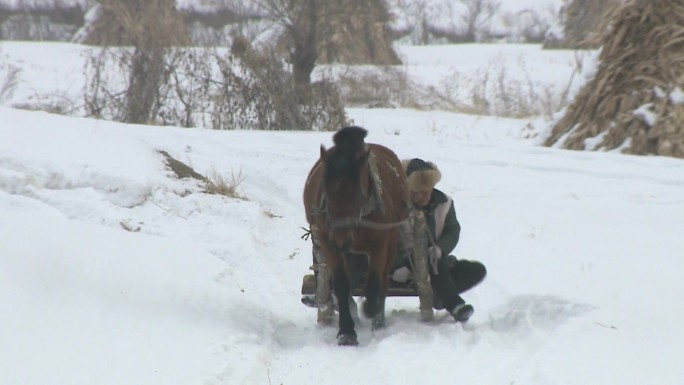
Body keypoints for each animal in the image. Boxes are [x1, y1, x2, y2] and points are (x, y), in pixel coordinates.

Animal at [302, 127, 408, 344]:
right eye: (326, 192)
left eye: (358, 194)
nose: (340, 241)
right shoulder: (329, 243)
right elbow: (342, 285)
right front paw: (346, 331)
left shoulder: (380, 243)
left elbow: (374, 283)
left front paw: (370, 308)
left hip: (390, 242)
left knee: (383, 280)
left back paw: (377, 319)